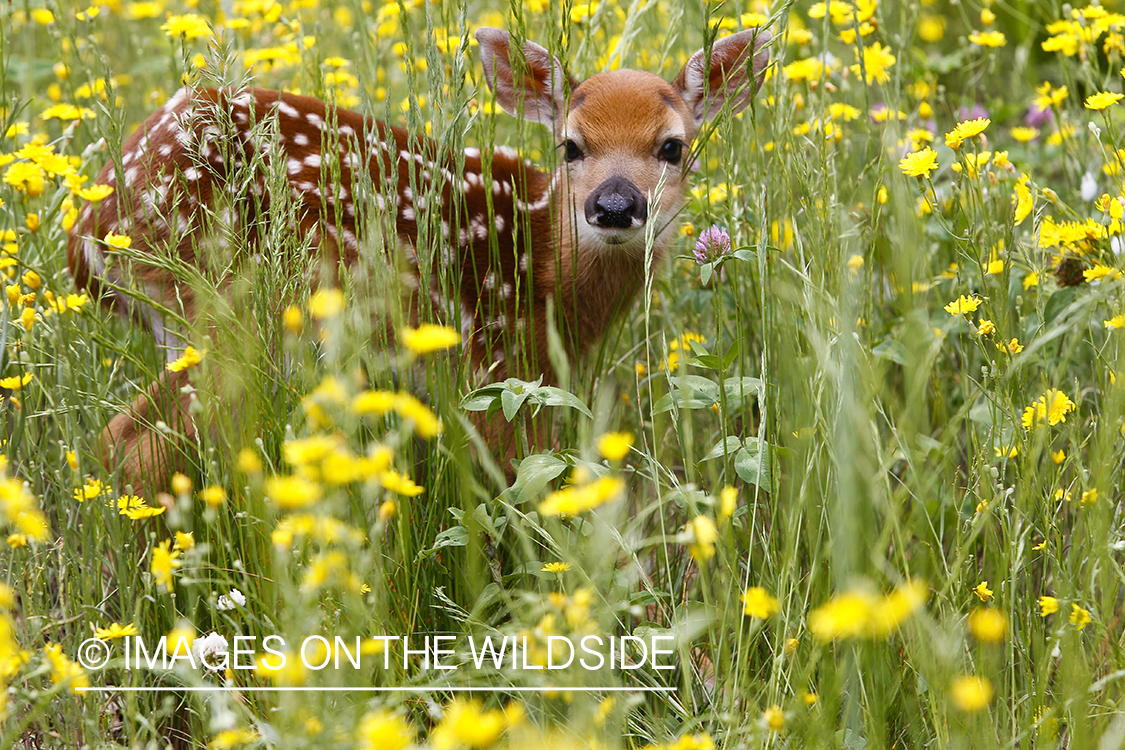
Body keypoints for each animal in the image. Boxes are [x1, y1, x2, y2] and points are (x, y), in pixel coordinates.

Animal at [66, 26, 771, 492]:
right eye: (571, 145)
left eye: (673, 147)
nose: (616, 205)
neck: (543, 267)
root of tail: (90, 230)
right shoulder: (496, 369)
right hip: (229, 309)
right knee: (133, 445)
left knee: (117, 439)